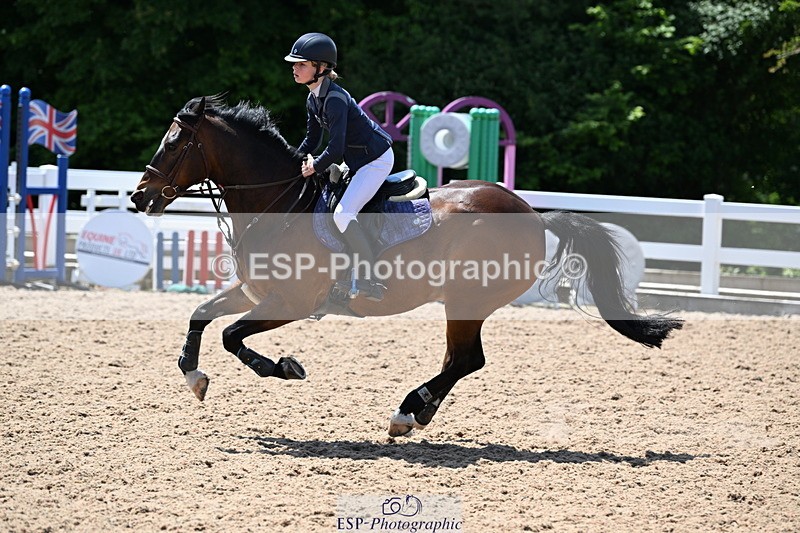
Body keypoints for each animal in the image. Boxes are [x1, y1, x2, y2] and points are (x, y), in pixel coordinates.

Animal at [131, 95, 683, 437]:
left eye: (175, 143)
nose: (140, 197)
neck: (278, 204)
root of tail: (531, 212)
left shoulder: (291, 301)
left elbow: (232, 336)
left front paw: (284, 367)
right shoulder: (255, 292)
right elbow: (202, 316)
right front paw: (193, 376)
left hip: (467, 299)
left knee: (466, 360)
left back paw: (406, 411)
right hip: (463, 303)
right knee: (459, 360)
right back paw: (418, 415)